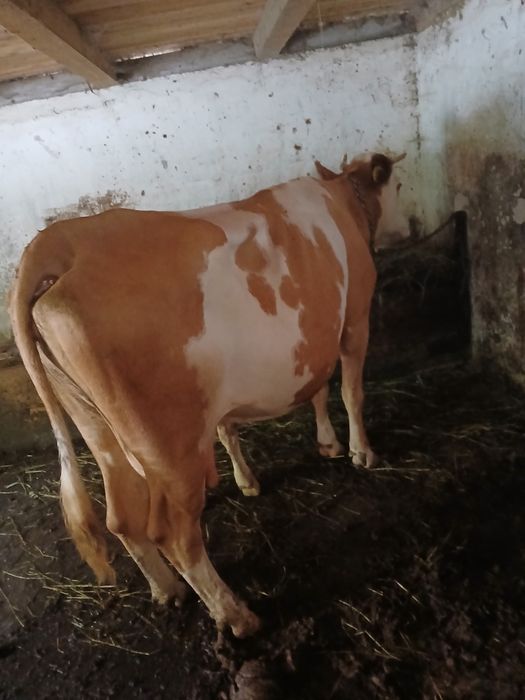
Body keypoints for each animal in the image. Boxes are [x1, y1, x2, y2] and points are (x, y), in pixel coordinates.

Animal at [9, 151, 409, 638]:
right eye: (398, 186)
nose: (408, 226)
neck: (340, 199)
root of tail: (59, 240)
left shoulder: (312, 339)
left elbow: (295, 399)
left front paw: (299, 456)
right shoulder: (354, 320)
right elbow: (351, 391)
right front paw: (360, 452)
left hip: (95, 424)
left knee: (121, 516)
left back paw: (168, 591)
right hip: (169, 445)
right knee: (174, 535)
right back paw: (237, 615)